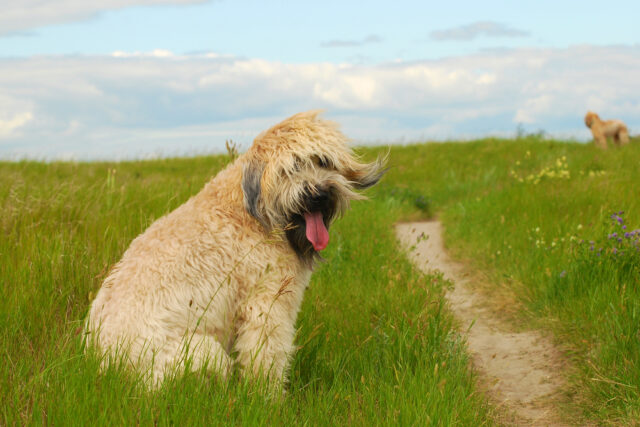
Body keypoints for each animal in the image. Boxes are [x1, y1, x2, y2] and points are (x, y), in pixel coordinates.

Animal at [85, 111, 384, 388]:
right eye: (290, 169)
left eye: (323, 161)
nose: (318, 195)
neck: (252, 212)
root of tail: (106, 371)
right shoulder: (266, 303)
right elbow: (266, 356)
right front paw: (269, 398)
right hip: (202, 352)